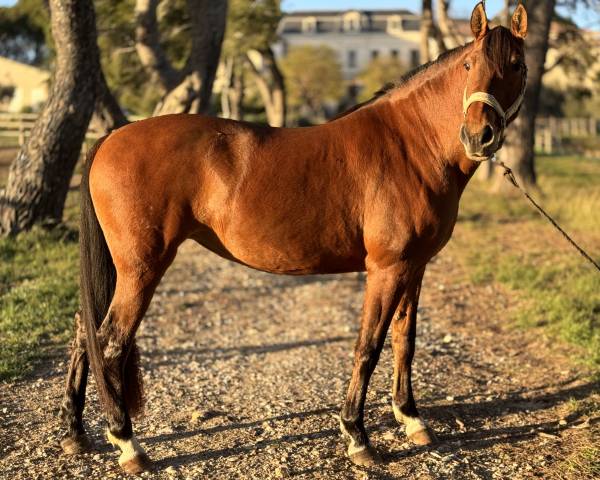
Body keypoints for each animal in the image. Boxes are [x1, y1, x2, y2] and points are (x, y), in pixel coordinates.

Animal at [58, 3, 528, 474]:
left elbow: (404, 340)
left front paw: (411, 418)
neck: (411, 146)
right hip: (141, 268)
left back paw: (76, 434)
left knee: (85, 332)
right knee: (110, 343)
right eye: (469, 65)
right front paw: (357, 436)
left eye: (517, 65)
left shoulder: (414, 267)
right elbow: (368, 346)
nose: (479, 136)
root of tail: (111, 137)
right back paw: (127, 443)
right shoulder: (386, 268)